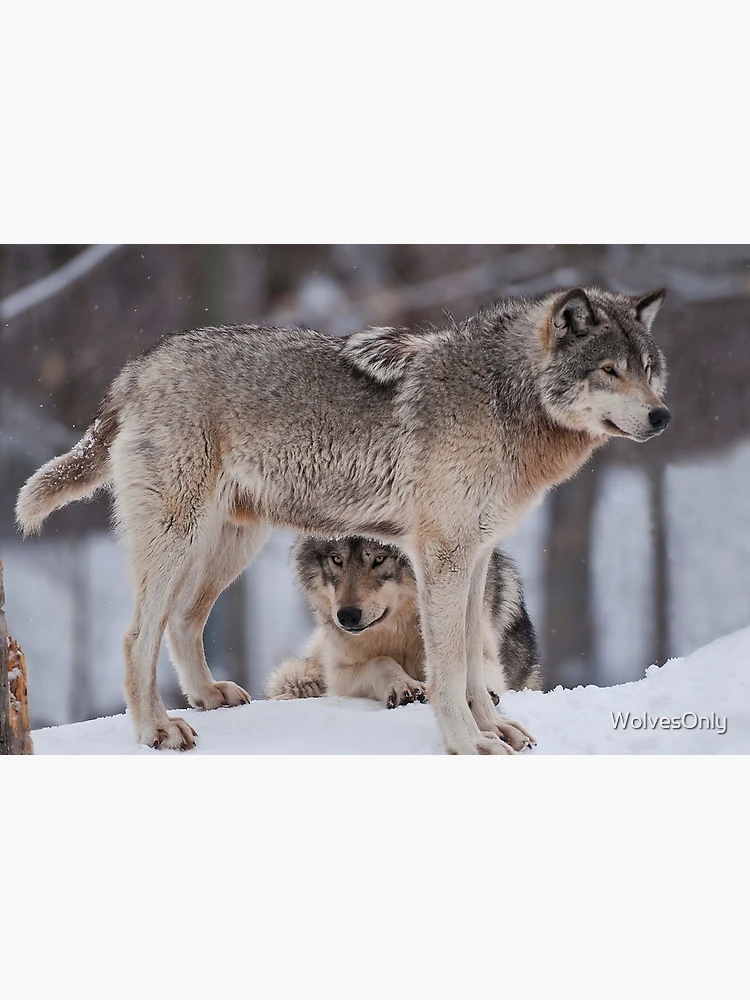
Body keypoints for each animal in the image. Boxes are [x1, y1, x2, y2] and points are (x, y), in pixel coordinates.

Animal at [265, 536, 541, 750]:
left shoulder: (481, 647)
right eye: (336, 559)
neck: (400, 630)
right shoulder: (338, 673)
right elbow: (381, 661)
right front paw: (402, 686)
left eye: (379, 559)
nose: (347, 616)